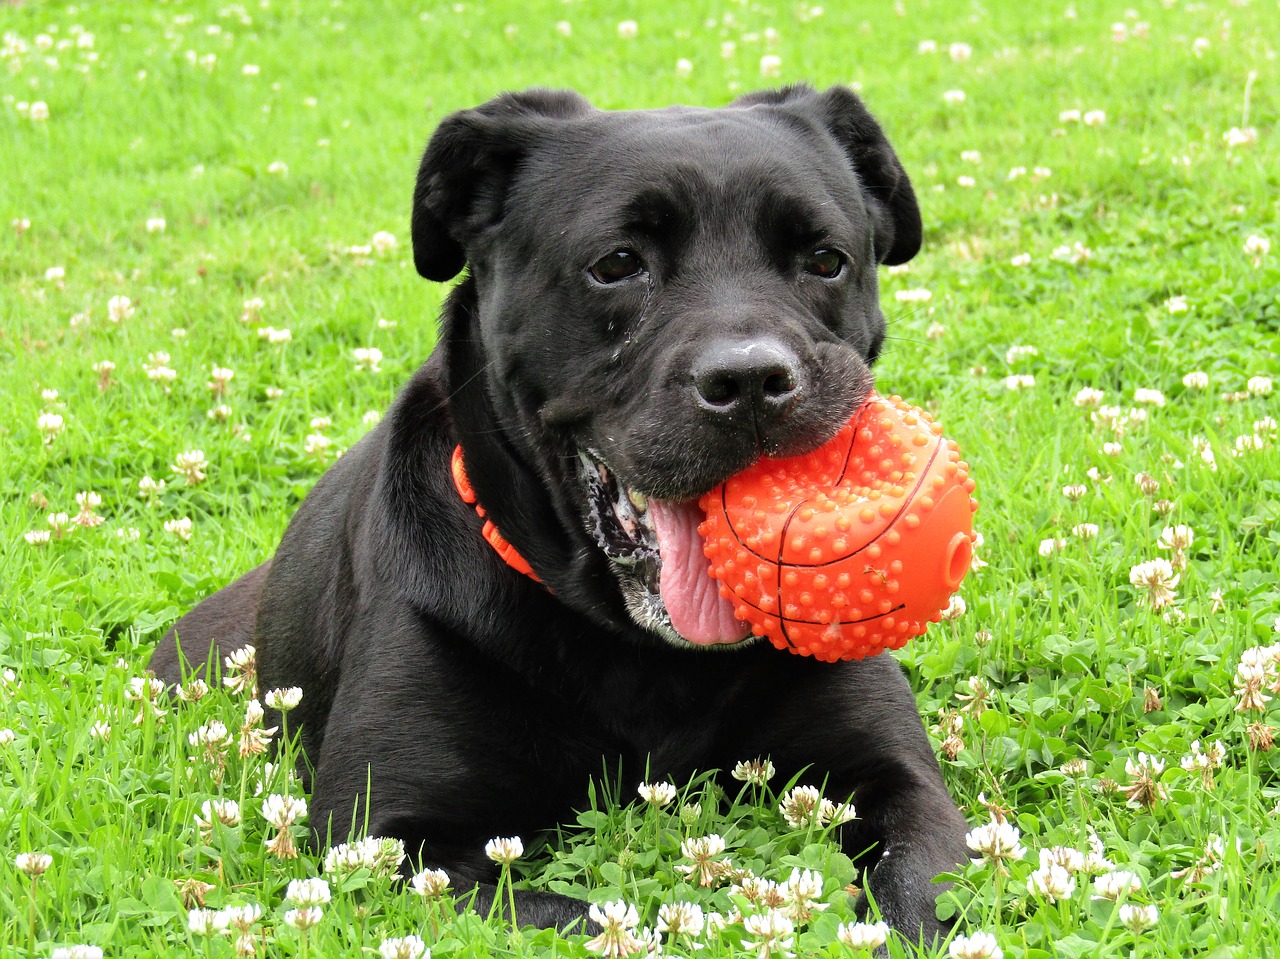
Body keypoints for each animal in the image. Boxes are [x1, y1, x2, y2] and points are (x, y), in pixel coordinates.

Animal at [149, 83, 967, 942]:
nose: (751, 380)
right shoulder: (386, 840)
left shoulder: (899, 780)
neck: (645, 656)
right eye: (617, 264)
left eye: (825, 260)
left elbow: (918, 893)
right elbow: (575, 914)